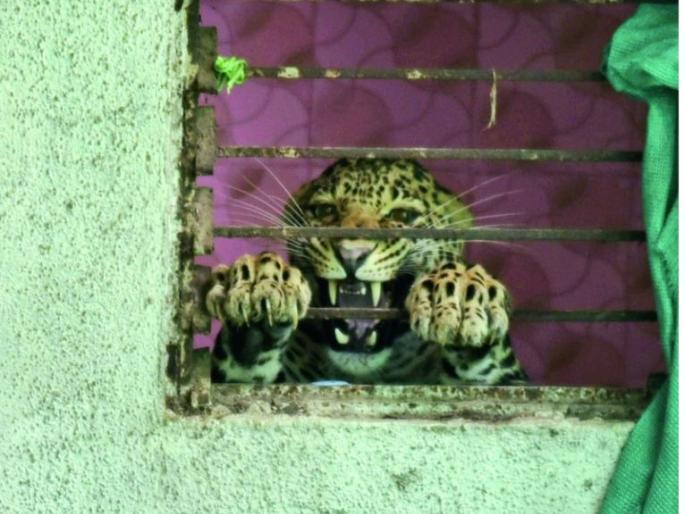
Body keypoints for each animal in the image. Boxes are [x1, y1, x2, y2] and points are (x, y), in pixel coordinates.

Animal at [205, 158, 526, 385]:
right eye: (325, 212)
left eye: (402, 215)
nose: (351, 253)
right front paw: (257, 285)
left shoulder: (512, 383)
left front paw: (462, 295)